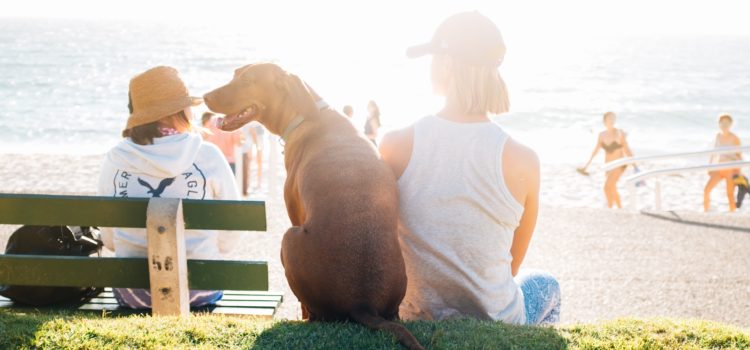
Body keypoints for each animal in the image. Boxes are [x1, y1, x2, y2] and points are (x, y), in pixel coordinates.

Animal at [203, 63, 426, 350]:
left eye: (248, 80)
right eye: (235, 75)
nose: (205, 97)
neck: (307, 113)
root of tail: (363, 303)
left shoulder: (294, 214)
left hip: (288, 239)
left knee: (312, 311)